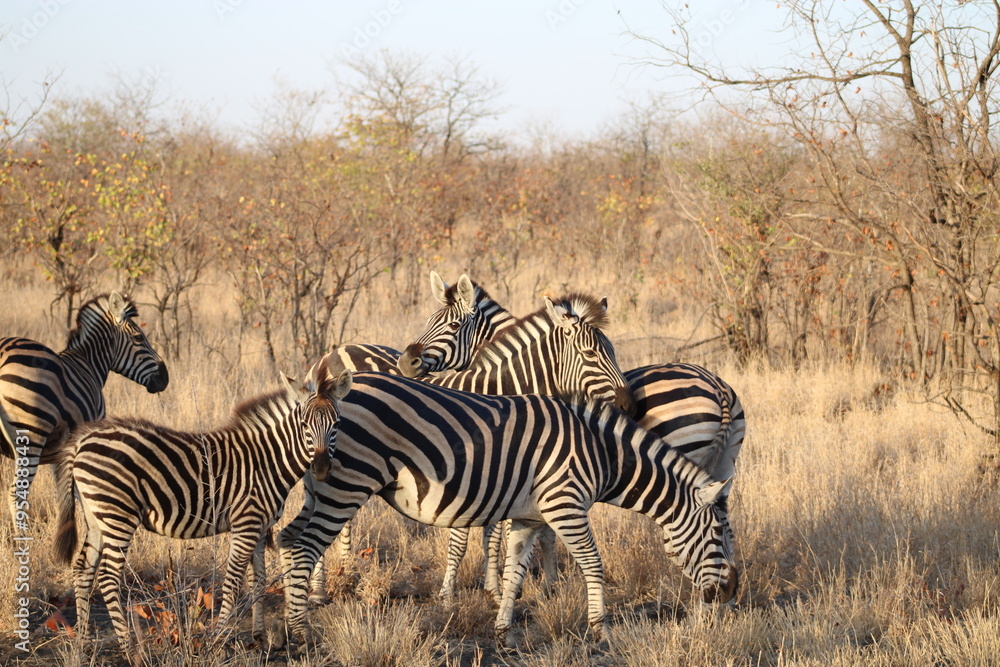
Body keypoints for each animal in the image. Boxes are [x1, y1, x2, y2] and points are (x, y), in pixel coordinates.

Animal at [0, 292, 168, 528]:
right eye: (138, 338)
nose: (165, 378)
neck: (89, 364)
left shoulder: (62, 452)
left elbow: (66, 493)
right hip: (30, 437)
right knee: (16, 493)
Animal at [54, 352, 354, 656]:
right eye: (304, 426)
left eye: (337, 425)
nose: (320, 470)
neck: (266, 461)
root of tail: (82, 440)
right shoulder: (245, 523)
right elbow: (233, 582)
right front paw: (219, 639)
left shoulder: (260, 526)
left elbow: (257, 580)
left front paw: (258, 637)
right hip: (118, 515)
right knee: (107, 577)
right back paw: (129, 647)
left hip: (96, 516)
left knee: (84, 569)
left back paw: (83, 643)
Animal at [278, 374, 740, 644]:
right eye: (719, 535)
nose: (730, 594)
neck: (601, 452)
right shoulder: (566, 505)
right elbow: (593, 564)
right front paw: (602, 628)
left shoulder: (529, 515)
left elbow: (515, 569)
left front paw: (503, 629)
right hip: (346, 486)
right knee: (304, 549)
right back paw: (300, 631)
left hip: (320, 488)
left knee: (287, 539)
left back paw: (285, 623)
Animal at [394, 272, 748, 596]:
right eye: (429, 321)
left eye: (453, 326)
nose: (406, 363)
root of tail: (720, 389)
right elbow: (510, 528)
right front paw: (529, 584)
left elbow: (483, 531)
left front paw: (467, 592)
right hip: (723, 463)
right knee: (721, 518)